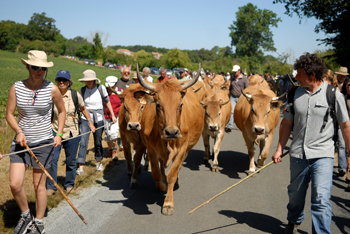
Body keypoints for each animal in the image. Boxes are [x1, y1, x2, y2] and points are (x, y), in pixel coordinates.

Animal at [135, 64, 204, 216]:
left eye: (180, 105)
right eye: (158, 105)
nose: (172, 132)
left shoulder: (182, 149)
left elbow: (172, 174)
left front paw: (168, 203)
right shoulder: (151, 149)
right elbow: (156, 172)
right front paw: (162, 186)